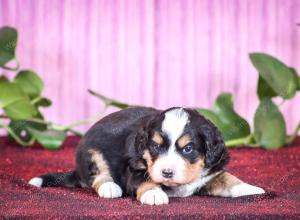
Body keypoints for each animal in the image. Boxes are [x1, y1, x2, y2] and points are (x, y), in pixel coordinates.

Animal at [29, 107, 264, 205]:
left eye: (188, 149)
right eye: (155, 146)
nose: (167, 172)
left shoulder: (212, 171)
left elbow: (228, 178)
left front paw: (250, 188)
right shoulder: (133, 169)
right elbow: (145, 180)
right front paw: (154, 194)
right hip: (91, 152)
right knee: (98, 175)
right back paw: (110, 187)